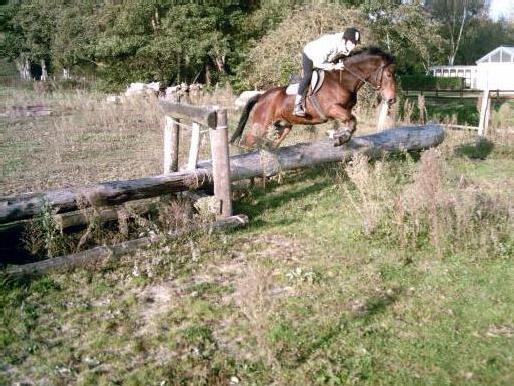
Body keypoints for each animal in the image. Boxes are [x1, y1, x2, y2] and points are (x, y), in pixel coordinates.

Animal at [229, 45, 396, 148]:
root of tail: (262, 96)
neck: (342, 82)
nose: (392, 99)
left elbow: (350, 123)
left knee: (271, 143)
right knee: (247, 142)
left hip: (282, 126)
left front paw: (336, 135)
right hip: (261, 125)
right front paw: (339, 139)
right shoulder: (332, 109)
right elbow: (353, 121)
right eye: (389, 74)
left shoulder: (344, 111)